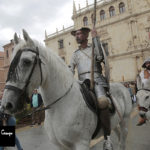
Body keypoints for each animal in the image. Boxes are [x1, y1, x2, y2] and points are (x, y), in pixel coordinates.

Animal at [1, 29, 132, 149]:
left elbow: (100, 57)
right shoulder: (61, 145)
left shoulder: (81, 143)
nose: (7, 104)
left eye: (26, 61)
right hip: (115, 124)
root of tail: (122, 86)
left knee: (122, 141)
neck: (58, 107)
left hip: (124, 122)